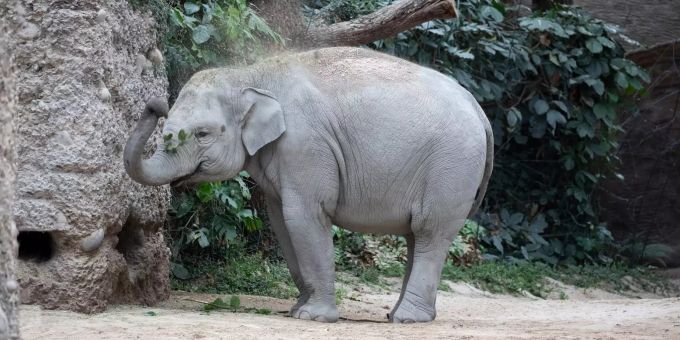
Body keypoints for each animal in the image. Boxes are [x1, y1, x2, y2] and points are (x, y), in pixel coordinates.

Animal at [123, 46, 494, 322]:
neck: (250, 74)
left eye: (202, 134)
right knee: (417, 236)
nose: (156, 104)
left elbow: (304, 216)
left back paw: (407, 319)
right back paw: (401, 316)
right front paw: (297, 309)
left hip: (452, 168)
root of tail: (479, 110)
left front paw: (313, 317)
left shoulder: (305, 145)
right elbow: (281, 222)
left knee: (430, 232)